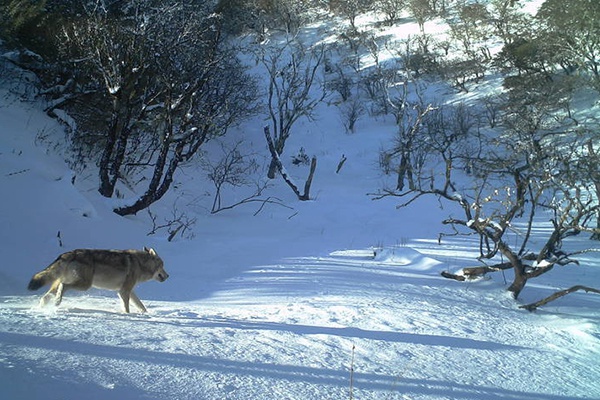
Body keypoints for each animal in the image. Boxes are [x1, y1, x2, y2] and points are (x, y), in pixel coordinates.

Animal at [27, 245, 169, 314]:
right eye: (162, 266)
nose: (168, 276)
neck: (139, 263)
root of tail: (70, 253)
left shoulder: (128, 291)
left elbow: (141, 306)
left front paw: (147, 315)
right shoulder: (124, 291)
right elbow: (127, 308)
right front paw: (127, 315)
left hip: (64, 283)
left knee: (45, 296)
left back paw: (41, 308)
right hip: (85, 285)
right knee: (63, 286)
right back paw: (57, 302)